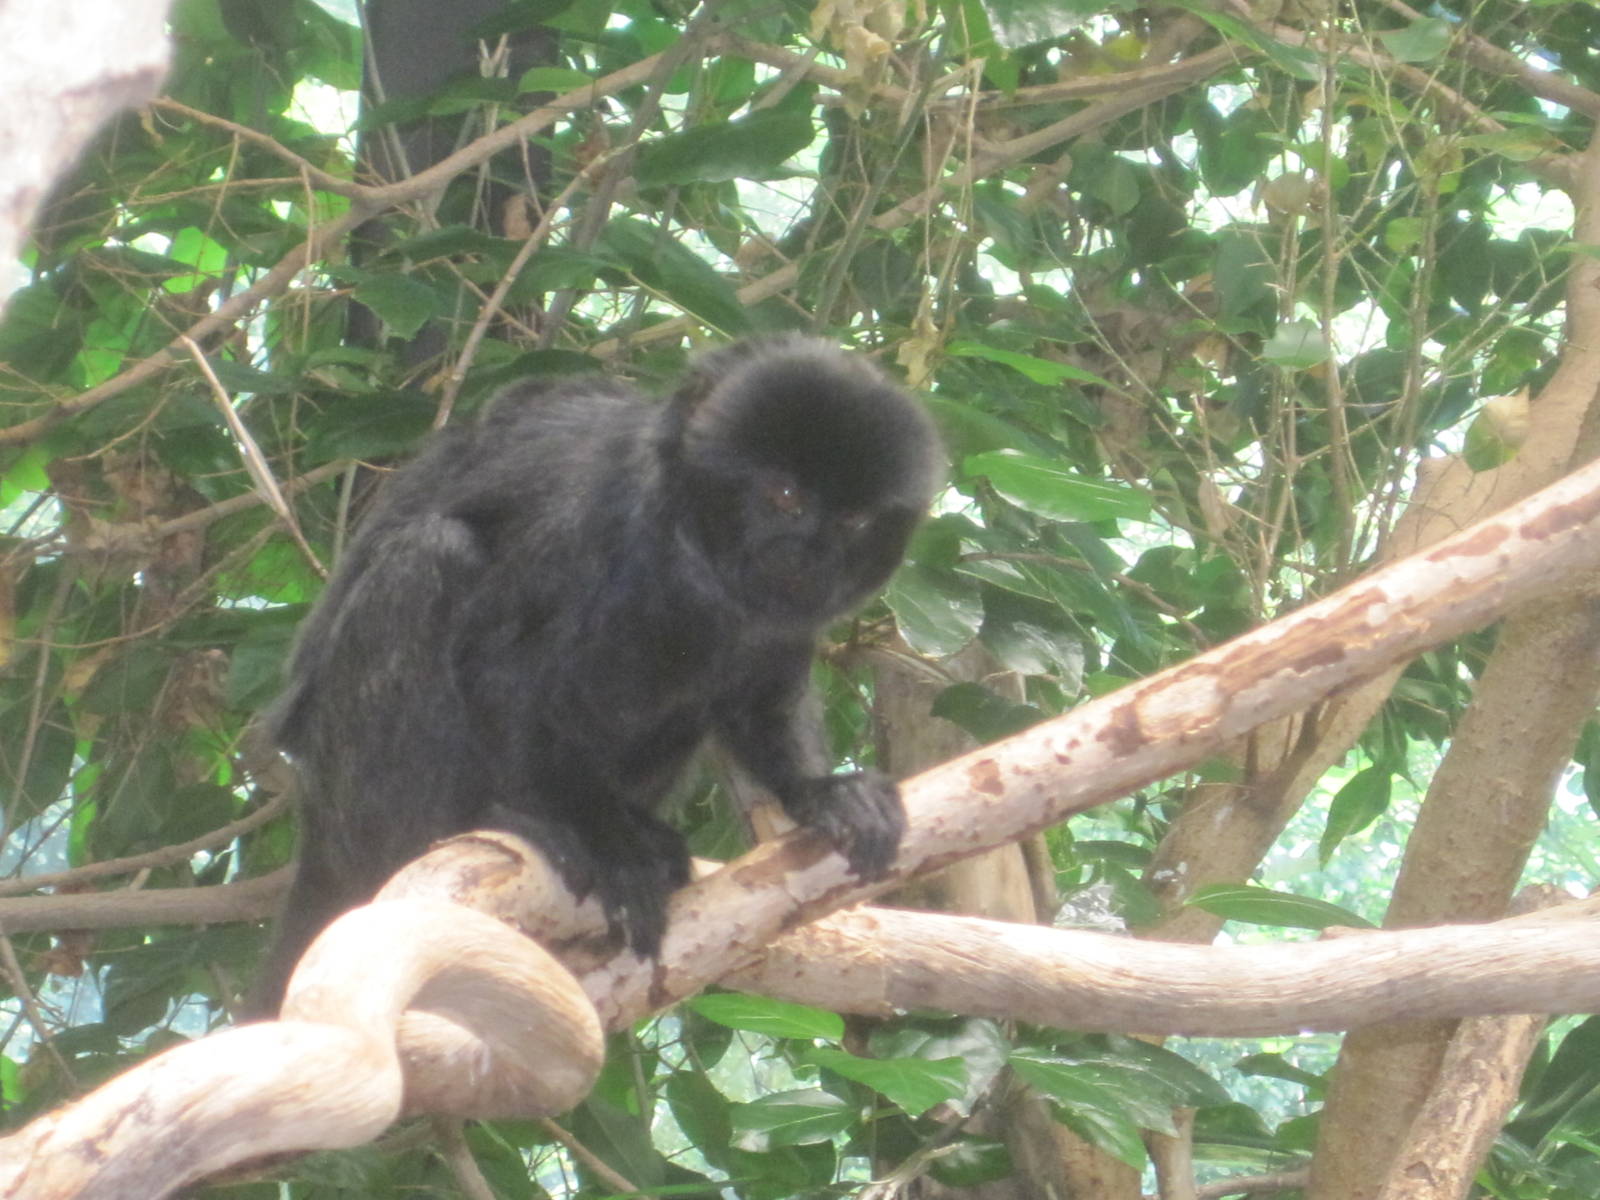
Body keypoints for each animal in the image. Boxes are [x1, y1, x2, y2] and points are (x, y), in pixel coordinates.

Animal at [250, 335, 943, 1010]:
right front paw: (603, 839)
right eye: (785, 498)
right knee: (429, 557)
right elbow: (502, 675)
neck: (690, 553)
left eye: (853, 520)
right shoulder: (590, 525)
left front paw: (822, 791)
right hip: (353, 792)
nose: (812, 555)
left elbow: (760, 702)